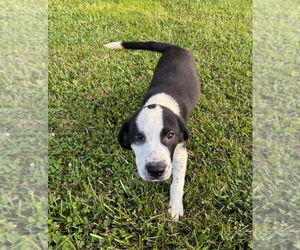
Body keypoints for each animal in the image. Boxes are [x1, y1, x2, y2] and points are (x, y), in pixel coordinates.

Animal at [104, 41, 200, 221]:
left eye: (170, 135)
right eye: (138, 136)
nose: (156, 171)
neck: (160, 101)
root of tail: (173, 47)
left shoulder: (180, 150)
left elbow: (177, 181)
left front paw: (175, 205)